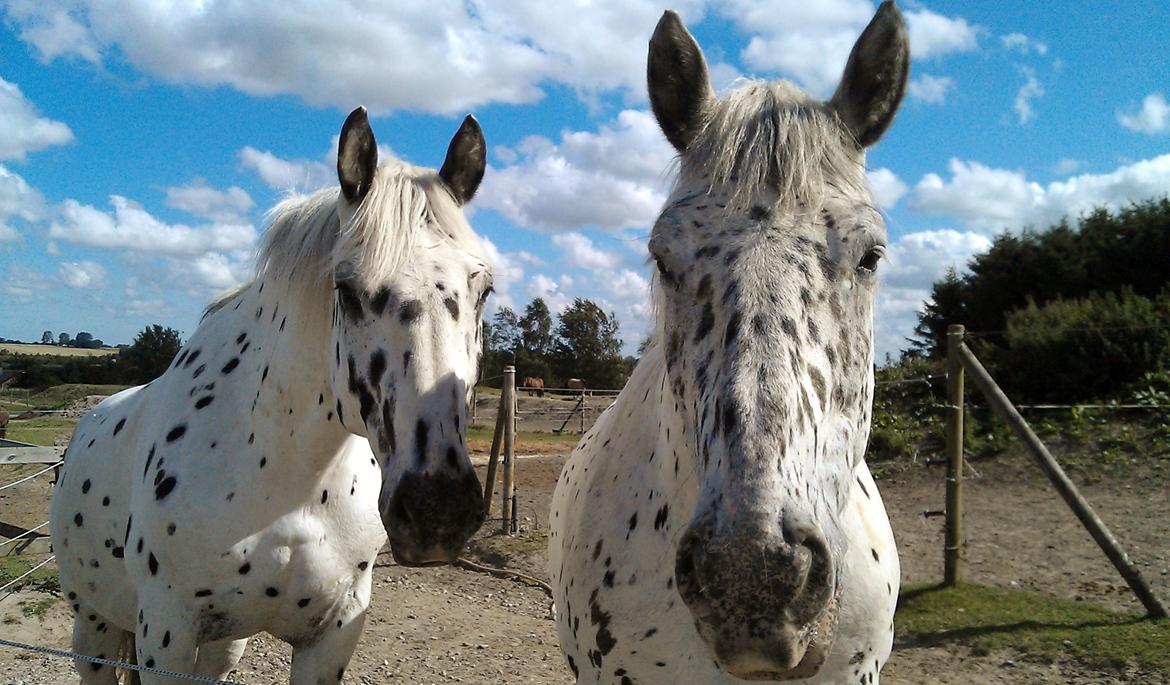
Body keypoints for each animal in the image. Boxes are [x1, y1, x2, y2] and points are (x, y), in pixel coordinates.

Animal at [50, 104, 493, 679]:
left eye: (484, 289)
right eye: (346, 290)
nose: (438, 510)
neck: (289, 484)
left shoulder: (331, 635)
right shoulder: (165, 635)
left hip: (222, 643)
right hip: (96, 627)